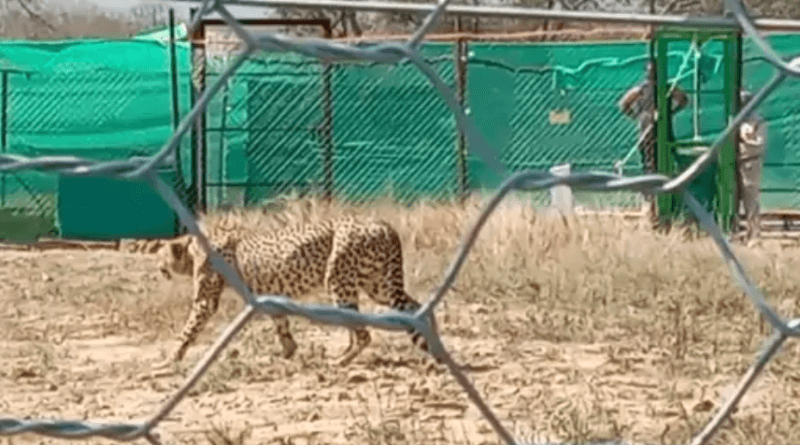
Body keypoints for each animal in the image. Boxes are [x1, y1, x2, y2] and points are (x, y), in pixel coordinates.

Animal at [155, 214, 437, 368]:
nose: (158, 268)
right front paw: (288, 352)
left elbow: (189, 328)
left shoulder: (206, 300)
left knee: (364, 333)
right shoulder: (267, 296)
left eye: (160, 254)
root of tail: (382, 223)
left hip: (339, 281)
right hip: (377, 285)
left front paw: (170, 359)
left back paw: (341, 361)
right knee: (414, 307)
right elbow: (281, 323)